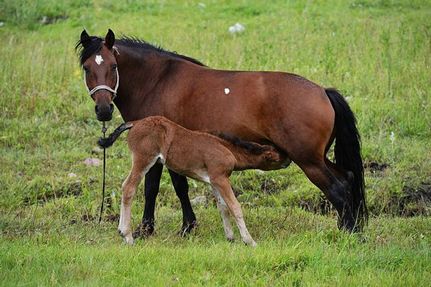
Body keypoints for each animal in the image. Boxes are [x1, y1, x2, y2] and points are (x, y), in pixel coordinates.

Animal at [99, 116, 288, 246]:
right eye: (276, 156)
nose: (288, 159)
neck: (227, 149)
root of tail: (135, 123)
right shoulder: (220, 178)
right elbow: (235, 207)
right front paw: (249, 241)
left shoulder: (214, 180)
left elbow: (223, 207)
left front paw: (230, 237)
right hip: (143, 159)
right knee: (128, 187)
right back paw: (127, 235)